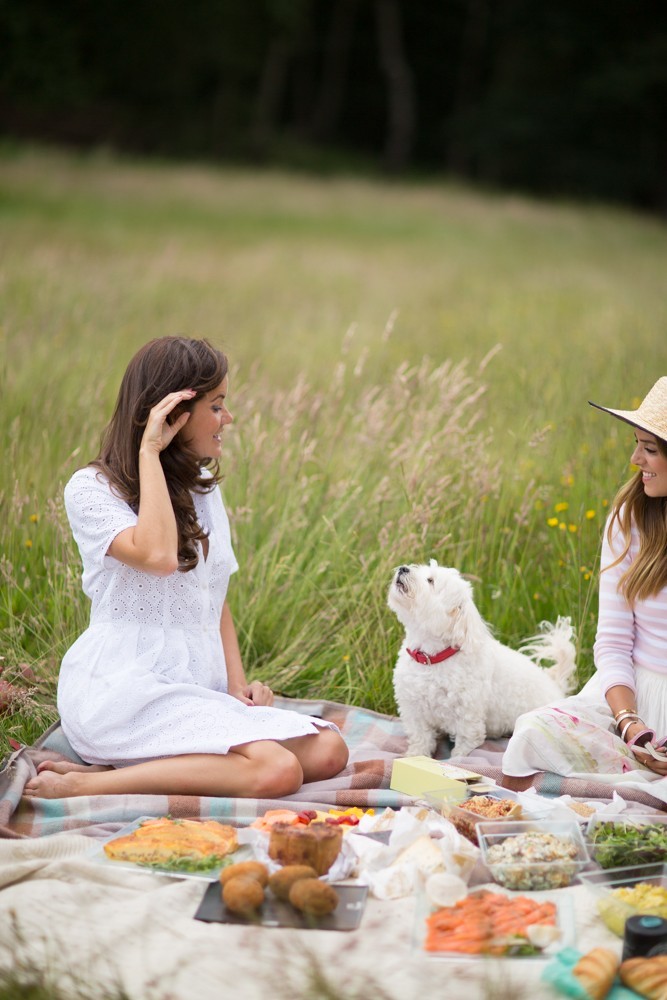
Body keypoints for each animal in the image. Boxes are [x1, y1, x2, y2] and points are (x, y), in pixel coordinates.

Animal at [388, 564, 576, 756]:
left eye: (430, 580)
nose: (403, 568)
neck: (430, 659)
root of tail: (557, 686)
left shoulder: (468, 718)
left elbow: (464, 747)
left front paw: (455, 759)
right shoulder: (414, 711)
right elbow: (421, 739)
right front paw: (414, 756)